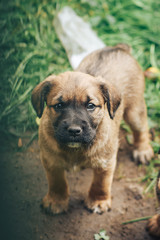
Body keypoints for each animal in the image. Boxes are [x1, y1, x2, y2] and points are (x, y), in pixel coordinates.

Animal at [31, 43, 154, 214]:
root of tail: (118, 48)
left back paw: (142, 150)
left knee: (141, 129)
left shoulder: (105, 163)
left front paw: (98, 201)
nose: (74, 130)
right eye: (59, 105)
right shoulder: (51, 160)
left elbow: (100, 183)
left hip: (134, 111)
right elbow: (57, 182)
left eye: (90, 106)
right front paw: (56, 200)